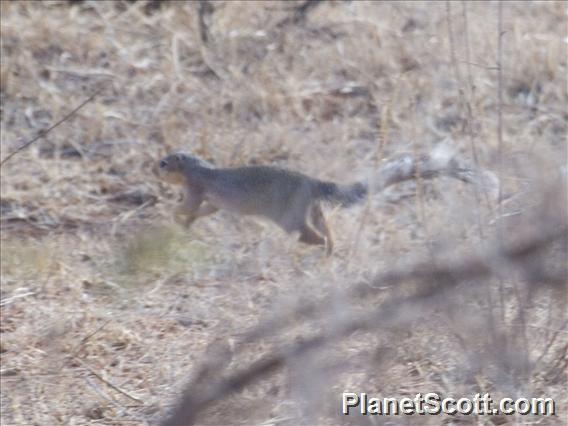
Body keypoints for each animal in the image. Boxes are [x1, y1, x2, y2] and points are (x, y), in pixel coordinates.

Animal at [158, 152, 366, 253]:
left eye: (164, 163)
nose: (154, 169)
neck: (197, 168)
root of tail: (311, 181)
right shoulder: (212, 202)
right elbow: (202, 211)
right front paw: (187, 222)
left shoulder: (196, 190)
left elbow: (186, 207)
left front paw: (175, 214)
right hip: (313, 211)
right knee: (327, 230)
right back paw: (331, 251)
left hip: (290, 220)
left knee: (318, 237)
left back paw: (324, 254)